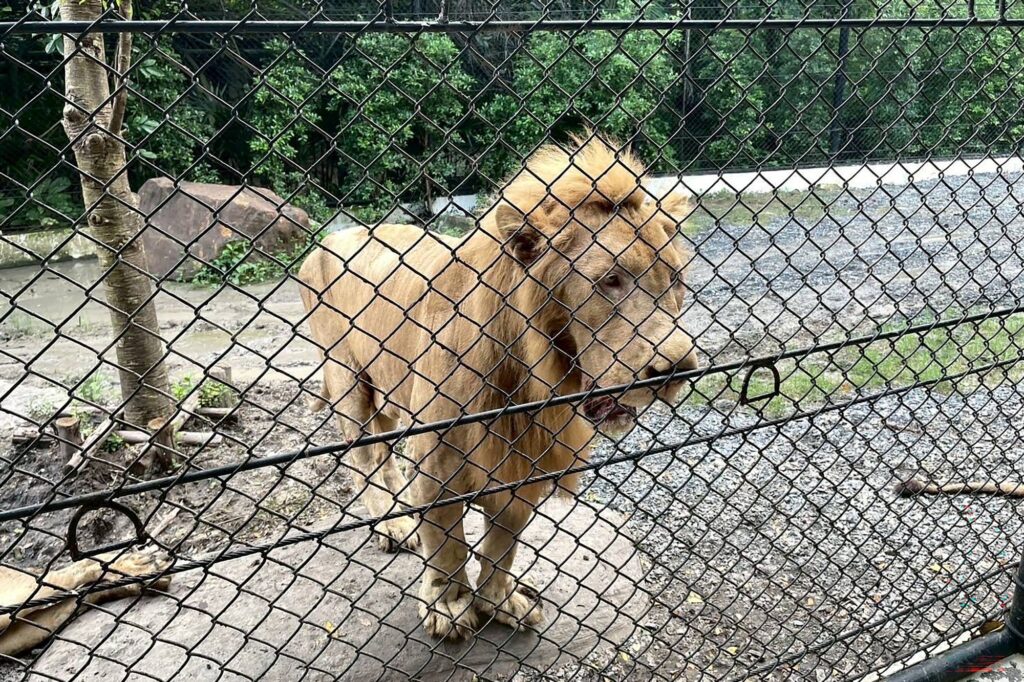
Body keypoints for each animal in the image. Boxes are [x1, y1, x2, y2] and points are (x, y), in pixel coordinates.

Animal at [297, 133, 698, 640]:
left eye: (677, 280)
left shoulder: (522, 457)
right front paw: (449, 607)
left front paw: (500, 601)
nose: (679, 368)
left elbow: (502, 542)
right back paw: (394, 528)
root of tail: (329, 238)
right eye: (610, 280)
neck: (529, 378)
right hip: (346, 377)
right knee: (364, 458)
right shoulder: (438, 461)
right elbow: (446, 540)